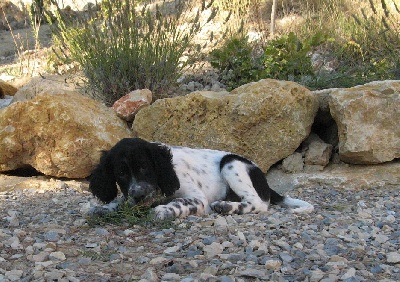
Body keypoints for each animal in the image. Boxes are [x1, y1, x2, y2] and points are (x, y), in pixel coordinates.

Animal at [89, 138, 314, 219]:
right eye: (121, 173)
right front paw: (106, 208)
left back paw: (226, 207)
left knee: (257, 203)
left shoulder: (197, 199)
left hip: (231, 164)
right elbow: (122, 202)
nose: (139, 194)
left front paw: (164, 210)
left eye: (145, 167)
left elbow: (178, 202)